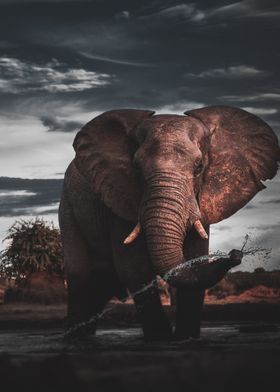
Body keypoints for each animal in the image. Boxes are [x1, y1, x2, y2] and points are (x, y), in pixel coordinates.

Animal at [58, 106, 278, 340]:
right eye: (136, 168)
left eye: (199, 167)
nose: (235, 254)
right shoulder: (118, 196)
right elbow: (134, 269)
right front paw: (161, 339)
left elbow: (194, 258)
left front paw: (186, 338)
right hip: (68, 209)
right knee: (80, 278)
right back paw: (75, 338)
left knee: (100, 287)